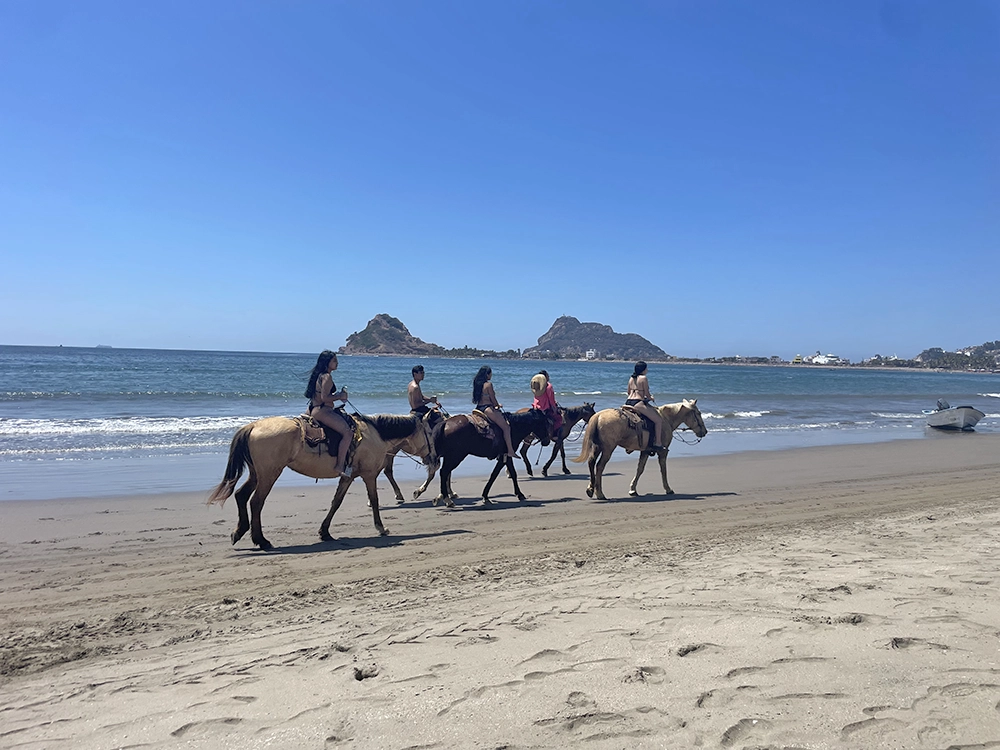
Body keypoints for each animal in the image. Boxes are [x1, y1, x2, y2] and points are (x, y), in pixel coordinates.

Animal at [206, 412, 438, 552]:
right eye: (429, 432)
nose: (435, 459)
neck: (375, 434)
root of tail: (253, 426)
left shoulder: (347, 476)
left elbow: (336, 502)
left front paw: (324, 532)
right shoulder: (369, 475)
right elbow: (374, 500)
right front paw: (380, 528)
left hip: (258, 473)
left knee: (241, 495)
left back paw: (239, 532)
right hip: (269, 474)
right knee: (256, 502)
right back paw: (261, 540)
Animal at [416, 408, 556, 508]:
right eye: (544, 423)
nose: (547, 441)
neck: (513, 427)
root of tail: (446, 422)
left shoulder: (505, 456)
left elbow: (504, 473)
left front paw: (487, 496)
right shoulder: (505, 456)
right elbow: (501, 474)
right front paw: (518, 494)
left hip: (450, 456)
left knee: (444, 473)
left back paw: (441, 497)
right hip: (456, 456)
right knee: (444, 472)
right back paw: (447, 499)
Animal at [576, 402, 708, 502]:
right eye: (699, 413)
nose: (705, 431)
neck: (665, 419)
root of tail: (598, 416)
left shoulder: (645, 451)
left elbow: (640, 469)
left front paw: (633, 490)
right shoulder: (663, 452)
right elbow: (663, 470)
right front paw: (668, 489)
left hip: (597, 447)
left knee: (591, 462)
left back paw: (591, 489)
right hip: (608, 449)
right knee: (599, 467)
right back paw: (600, 493)